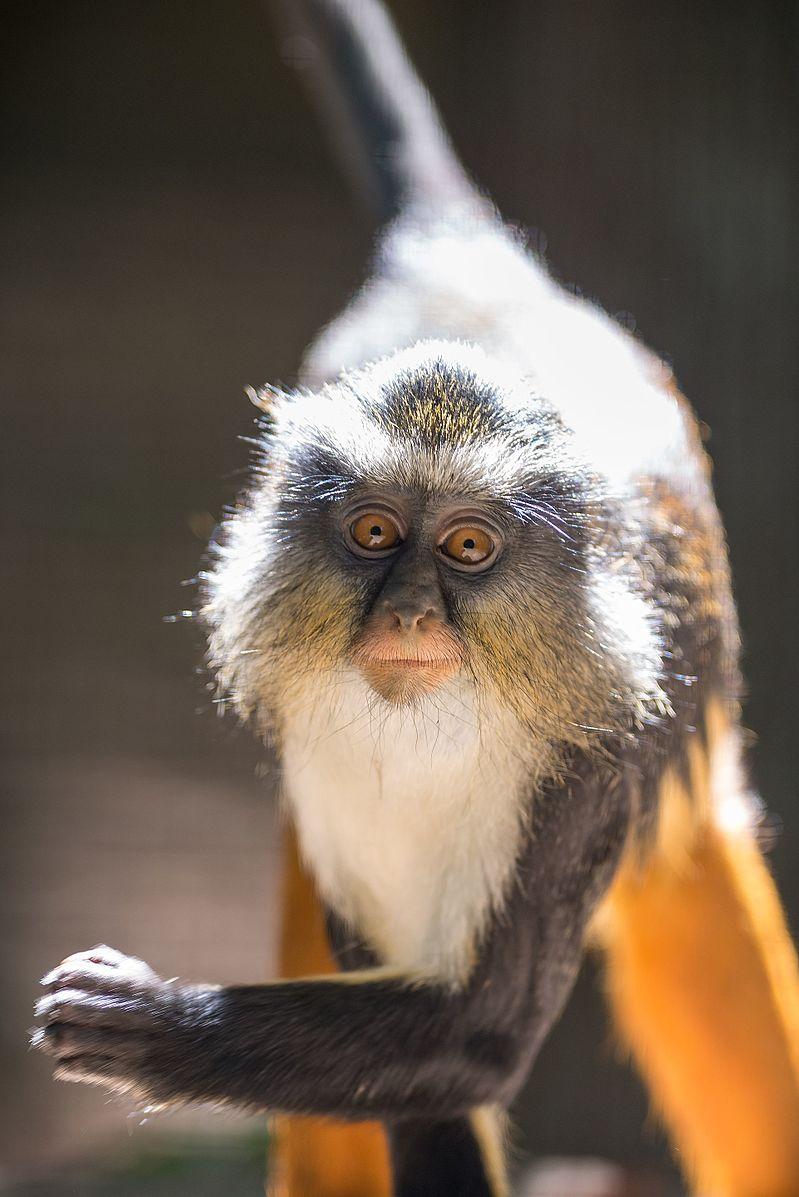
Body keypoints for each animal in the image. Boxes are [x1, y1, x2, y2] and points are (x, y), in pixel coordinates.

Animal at [34, 2, 799, 1197]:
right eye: (373, 536)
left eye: (469, 547)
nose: (407, 616)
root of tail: (460, 259)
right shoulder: (318, 746)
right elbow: (420, 1052)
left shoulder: (597, 767)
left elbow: (474, 1035)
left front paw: (157, 1023)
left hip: (678, 813)